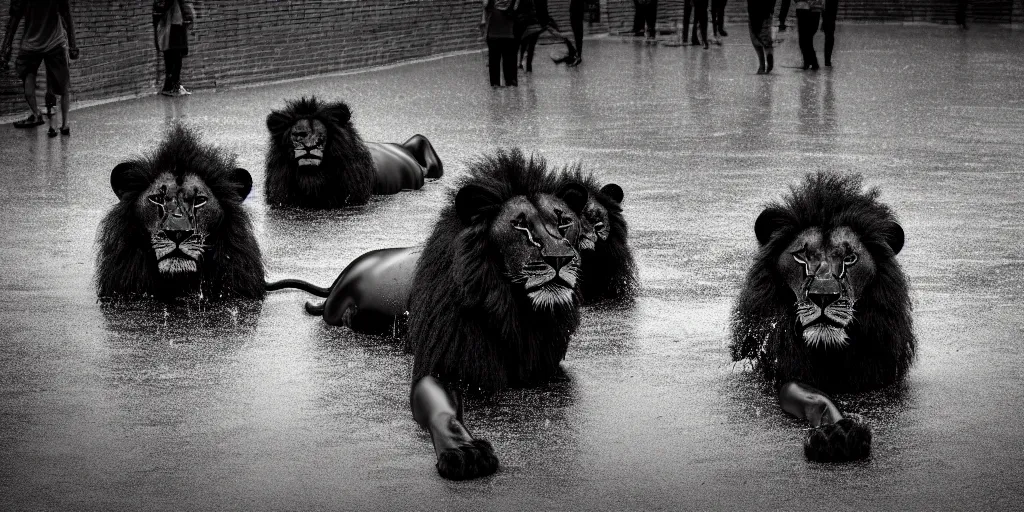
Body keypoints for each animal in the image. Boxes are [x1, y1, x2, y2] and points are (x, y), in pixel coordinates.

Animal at [733, 171, 917, 460]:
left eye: (850, 258)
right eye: (801, 256)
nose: (823, 295)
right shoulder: (782, 372)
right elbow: (814, 395)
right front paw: (835, 434)